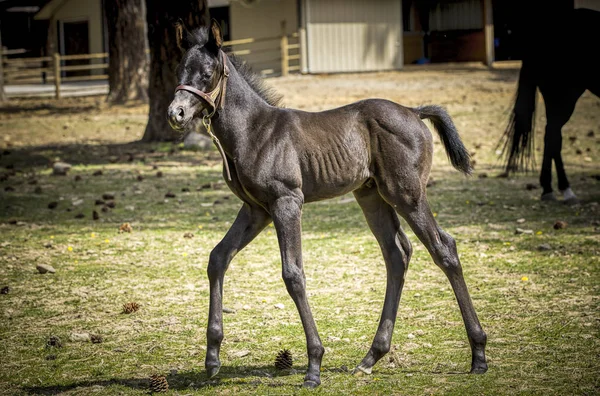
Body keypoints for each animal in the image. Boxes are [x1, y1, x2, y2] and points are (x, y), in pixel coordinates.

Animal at [166, 20, 486, 386]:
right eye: (179, 69)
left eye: (207, 74)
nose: (176, 113)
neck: (253, 130)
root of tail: (414, 111)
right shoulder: (256, 210)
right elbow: (218, 258)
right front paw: (212, 357)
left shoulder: (286, 202)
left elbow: (293, 274)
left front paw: (314, 365)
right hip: (371, 195)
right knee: (397, 254)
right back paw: (371, 357)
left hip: (406, 194)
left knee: (443, 248)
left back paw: (478, 354)